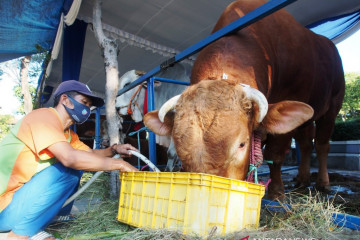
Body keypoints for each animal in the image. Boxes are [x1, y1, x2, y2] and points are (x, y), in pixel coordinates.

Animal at [142, 0, 344, 199]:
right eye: (179, 148)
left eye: (242, 144)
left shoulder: (293, 96)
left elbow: (274, 154)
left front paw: (276, 192)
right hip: (307, 118)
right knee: (306, 143)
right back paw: (302, 179)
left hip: (333, 104)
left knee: (322, 144)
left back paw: (323, 183)